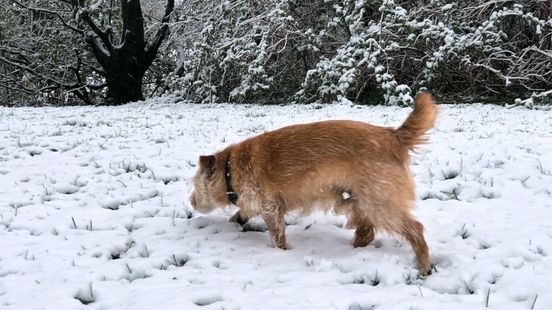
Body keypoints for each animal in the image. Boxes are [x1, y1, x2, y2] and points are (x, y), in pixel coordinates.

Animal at [192, 92, 438, 276]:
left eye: (194, 186)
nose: (191, 202)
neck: (230, 168)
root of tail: (393, 136)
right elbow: (243, 212)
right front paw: (236, 220)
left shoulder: (271, 206)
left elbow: (277, 235)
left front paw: (282, 253)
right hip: (360, 200)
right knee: (366, 231)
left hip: (379, 202)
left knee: (415, 229)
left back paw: (424, 265)